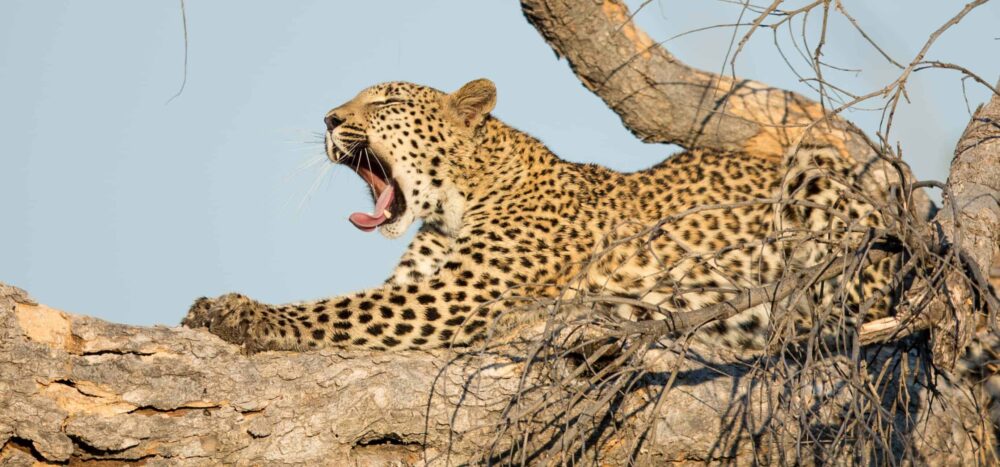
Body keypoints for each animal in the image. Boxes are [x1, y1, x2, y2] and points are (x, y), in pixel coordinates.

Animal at [181, 78, 900, 353]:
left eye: (383, 101)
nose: (329, 119)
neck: (460, 197)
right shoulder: (419, 285)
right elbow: (348, 303)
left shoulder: (452, 296)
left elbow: (334, 310)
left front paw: (237, 312)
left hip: (814, 169)